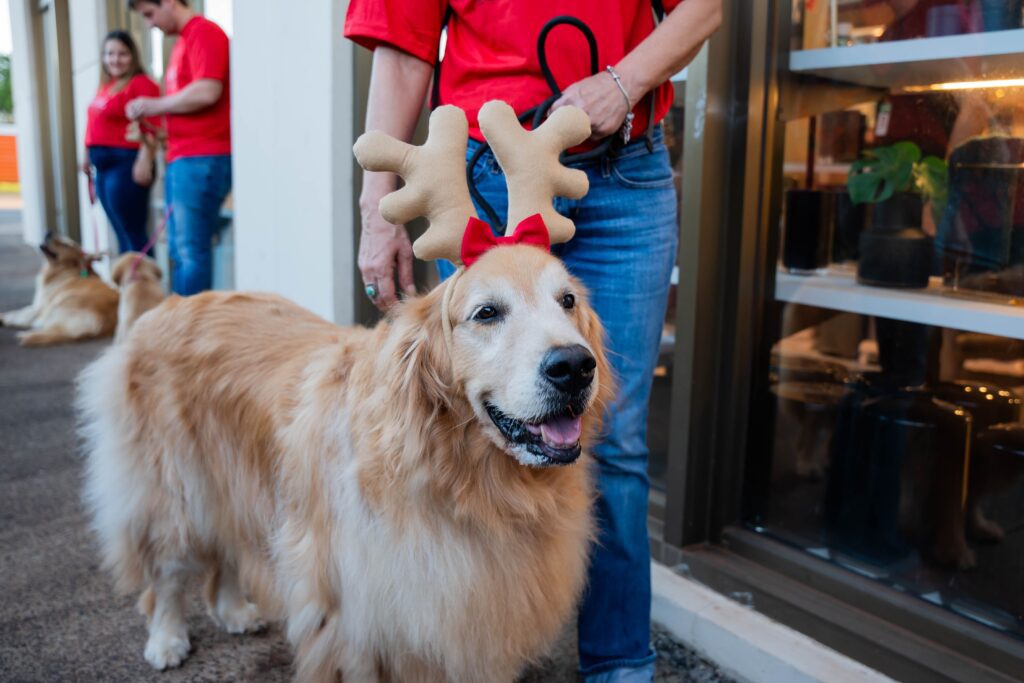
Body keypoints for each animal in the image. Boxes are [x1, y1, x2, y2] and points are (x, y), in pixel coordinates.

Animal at [79, 242, 610, 679]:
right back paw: (167, 639)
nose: (574, 366)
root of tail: (169, 304)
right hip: (175, 491)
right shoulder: (350, 616)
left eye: (567, 301)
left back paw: (232, 611)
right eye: (486, 312)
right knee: (167, 573)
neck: (461, 480)